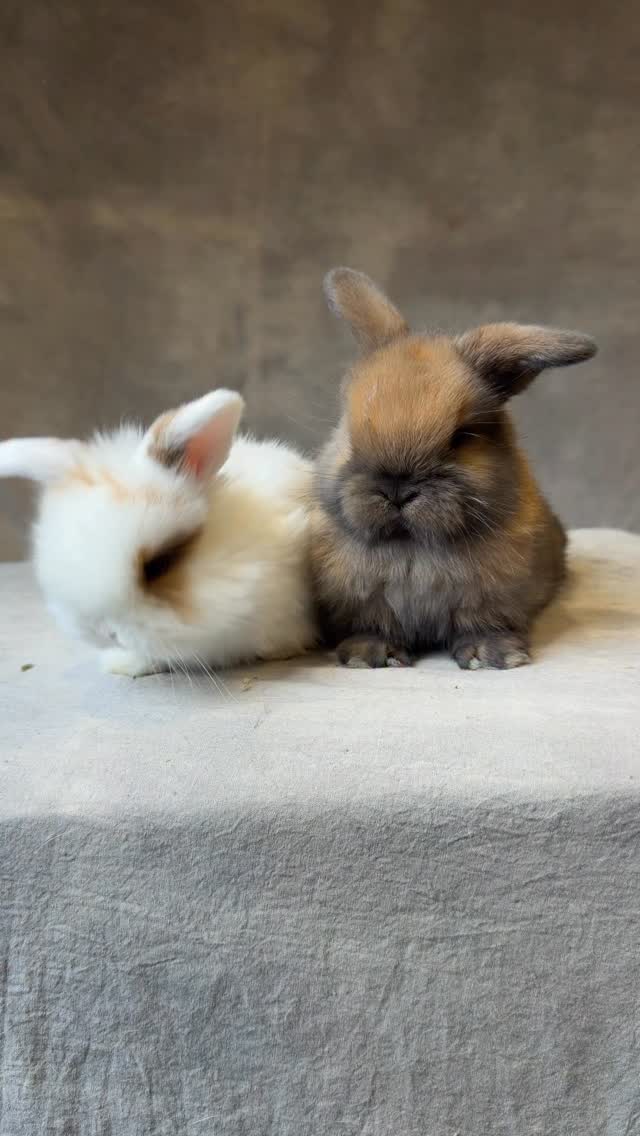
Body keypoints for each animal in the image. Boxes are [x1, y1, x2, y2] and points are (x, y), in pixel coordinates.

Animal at [310, 267, 597, 670]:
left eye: (462, 437)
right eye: (349, 432)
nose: (396, 490)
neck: (413, 546)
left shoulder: (493, 598)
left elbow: (482, 623)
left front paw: (491, 656)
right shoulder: (363, 601)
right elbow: (373, 623)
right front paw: (370, 656)